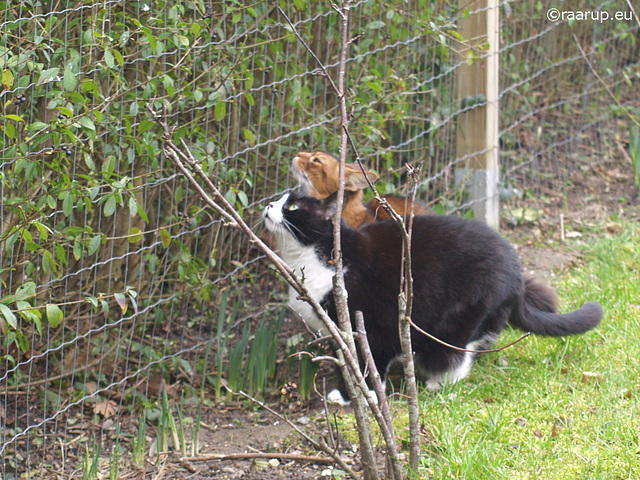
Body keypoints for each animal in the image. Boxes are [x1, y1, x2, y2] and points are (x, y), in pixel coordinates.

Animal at [262, 191, 604, 404]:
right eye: (280, 199)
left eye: (293, 207)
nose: (268, 205)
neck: (317, 258)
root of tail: (517, 276)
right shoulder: (338, 329)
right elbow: (346, 361)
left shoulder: (371, 324)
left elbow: (368, 360)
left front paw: (362, 395)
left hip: (457, 313)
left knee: (457, 351)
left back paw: (439, 381)